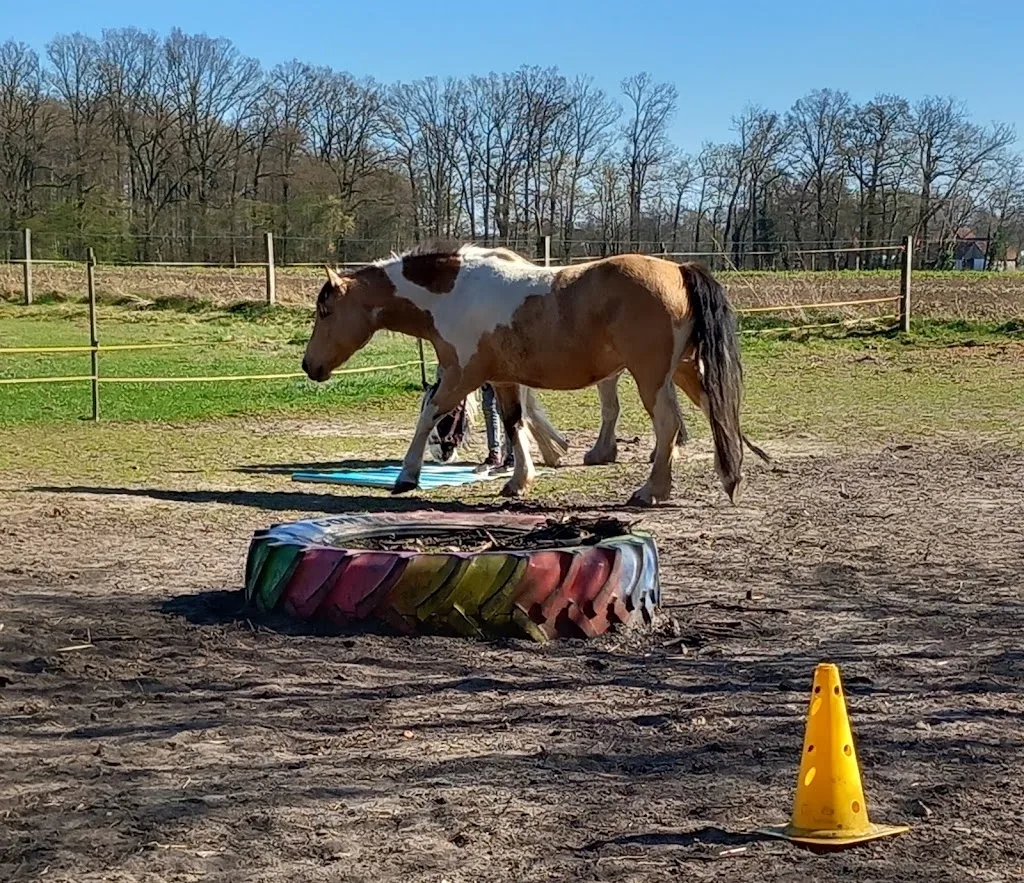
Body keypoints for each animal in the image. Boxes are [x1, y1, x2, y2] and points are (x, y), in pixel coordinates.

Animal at [301, 241, 766, 506]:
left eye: (325, 311)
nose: (309, 366)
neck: (453, 293)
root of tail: (679, 270)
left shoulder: (462, 374)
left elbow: (428, 414)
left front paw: (406, 476)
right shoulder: (503, 378)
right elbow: (514, 423)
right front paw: (519, 480)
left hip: (651, 377)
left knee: (669, 424)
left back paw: (651, 490)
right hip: (685, 370)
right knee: (717, 413)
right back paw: (730, 478)